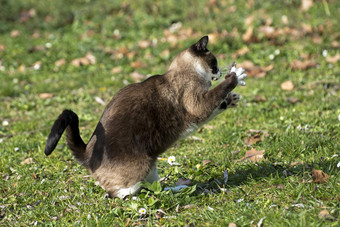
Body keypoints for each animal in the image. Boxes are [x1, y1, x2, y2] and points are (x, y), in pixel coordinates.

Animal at [45, 36, 247, 199]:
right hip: (142, 165)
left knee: (154, 188)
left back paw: (177, 190)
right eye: (215, 62)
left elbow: (219, 101)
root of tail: (86, 153)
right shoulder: (198, 104)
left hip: (152, 164)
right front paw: (235, 76)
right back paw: (138, 198)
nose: (219, 72)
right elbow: (218, 92)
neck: (187, 71)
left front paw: (232, 99)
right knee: (118, 194)